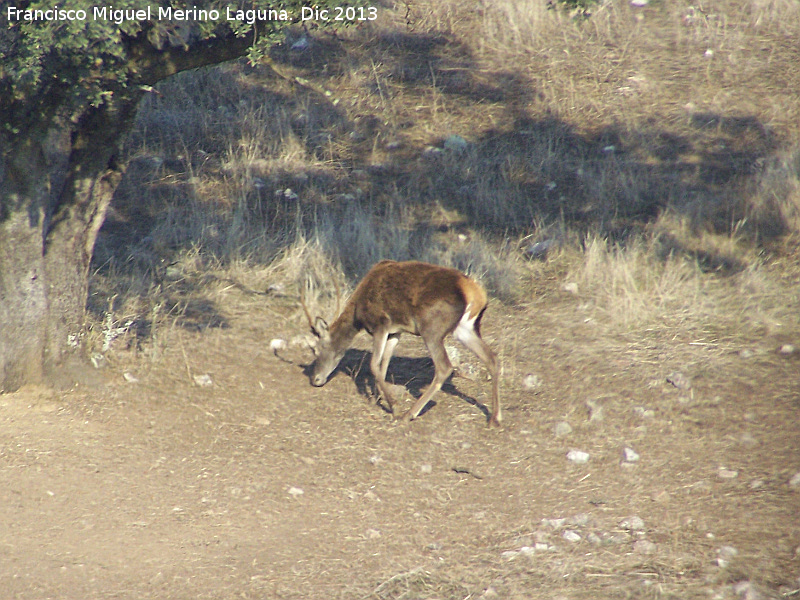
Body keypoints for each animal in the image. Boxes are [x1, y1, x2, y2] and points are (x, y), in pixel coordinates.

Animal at [300, 262, 500, 426]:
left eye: (315, 349)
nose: (315, 379)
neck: (358, 315)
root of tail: (475, 293)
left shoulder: (381, 324)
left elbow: (374, 365)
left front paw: (394, 406)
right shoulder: (395, 331)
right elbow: (384, 365)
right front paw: (378, 398)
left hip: (432, 329)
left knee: (444, 368)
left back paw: (408, 414)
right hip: (464, 328)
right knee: (492, 358)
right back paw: (494, 418)